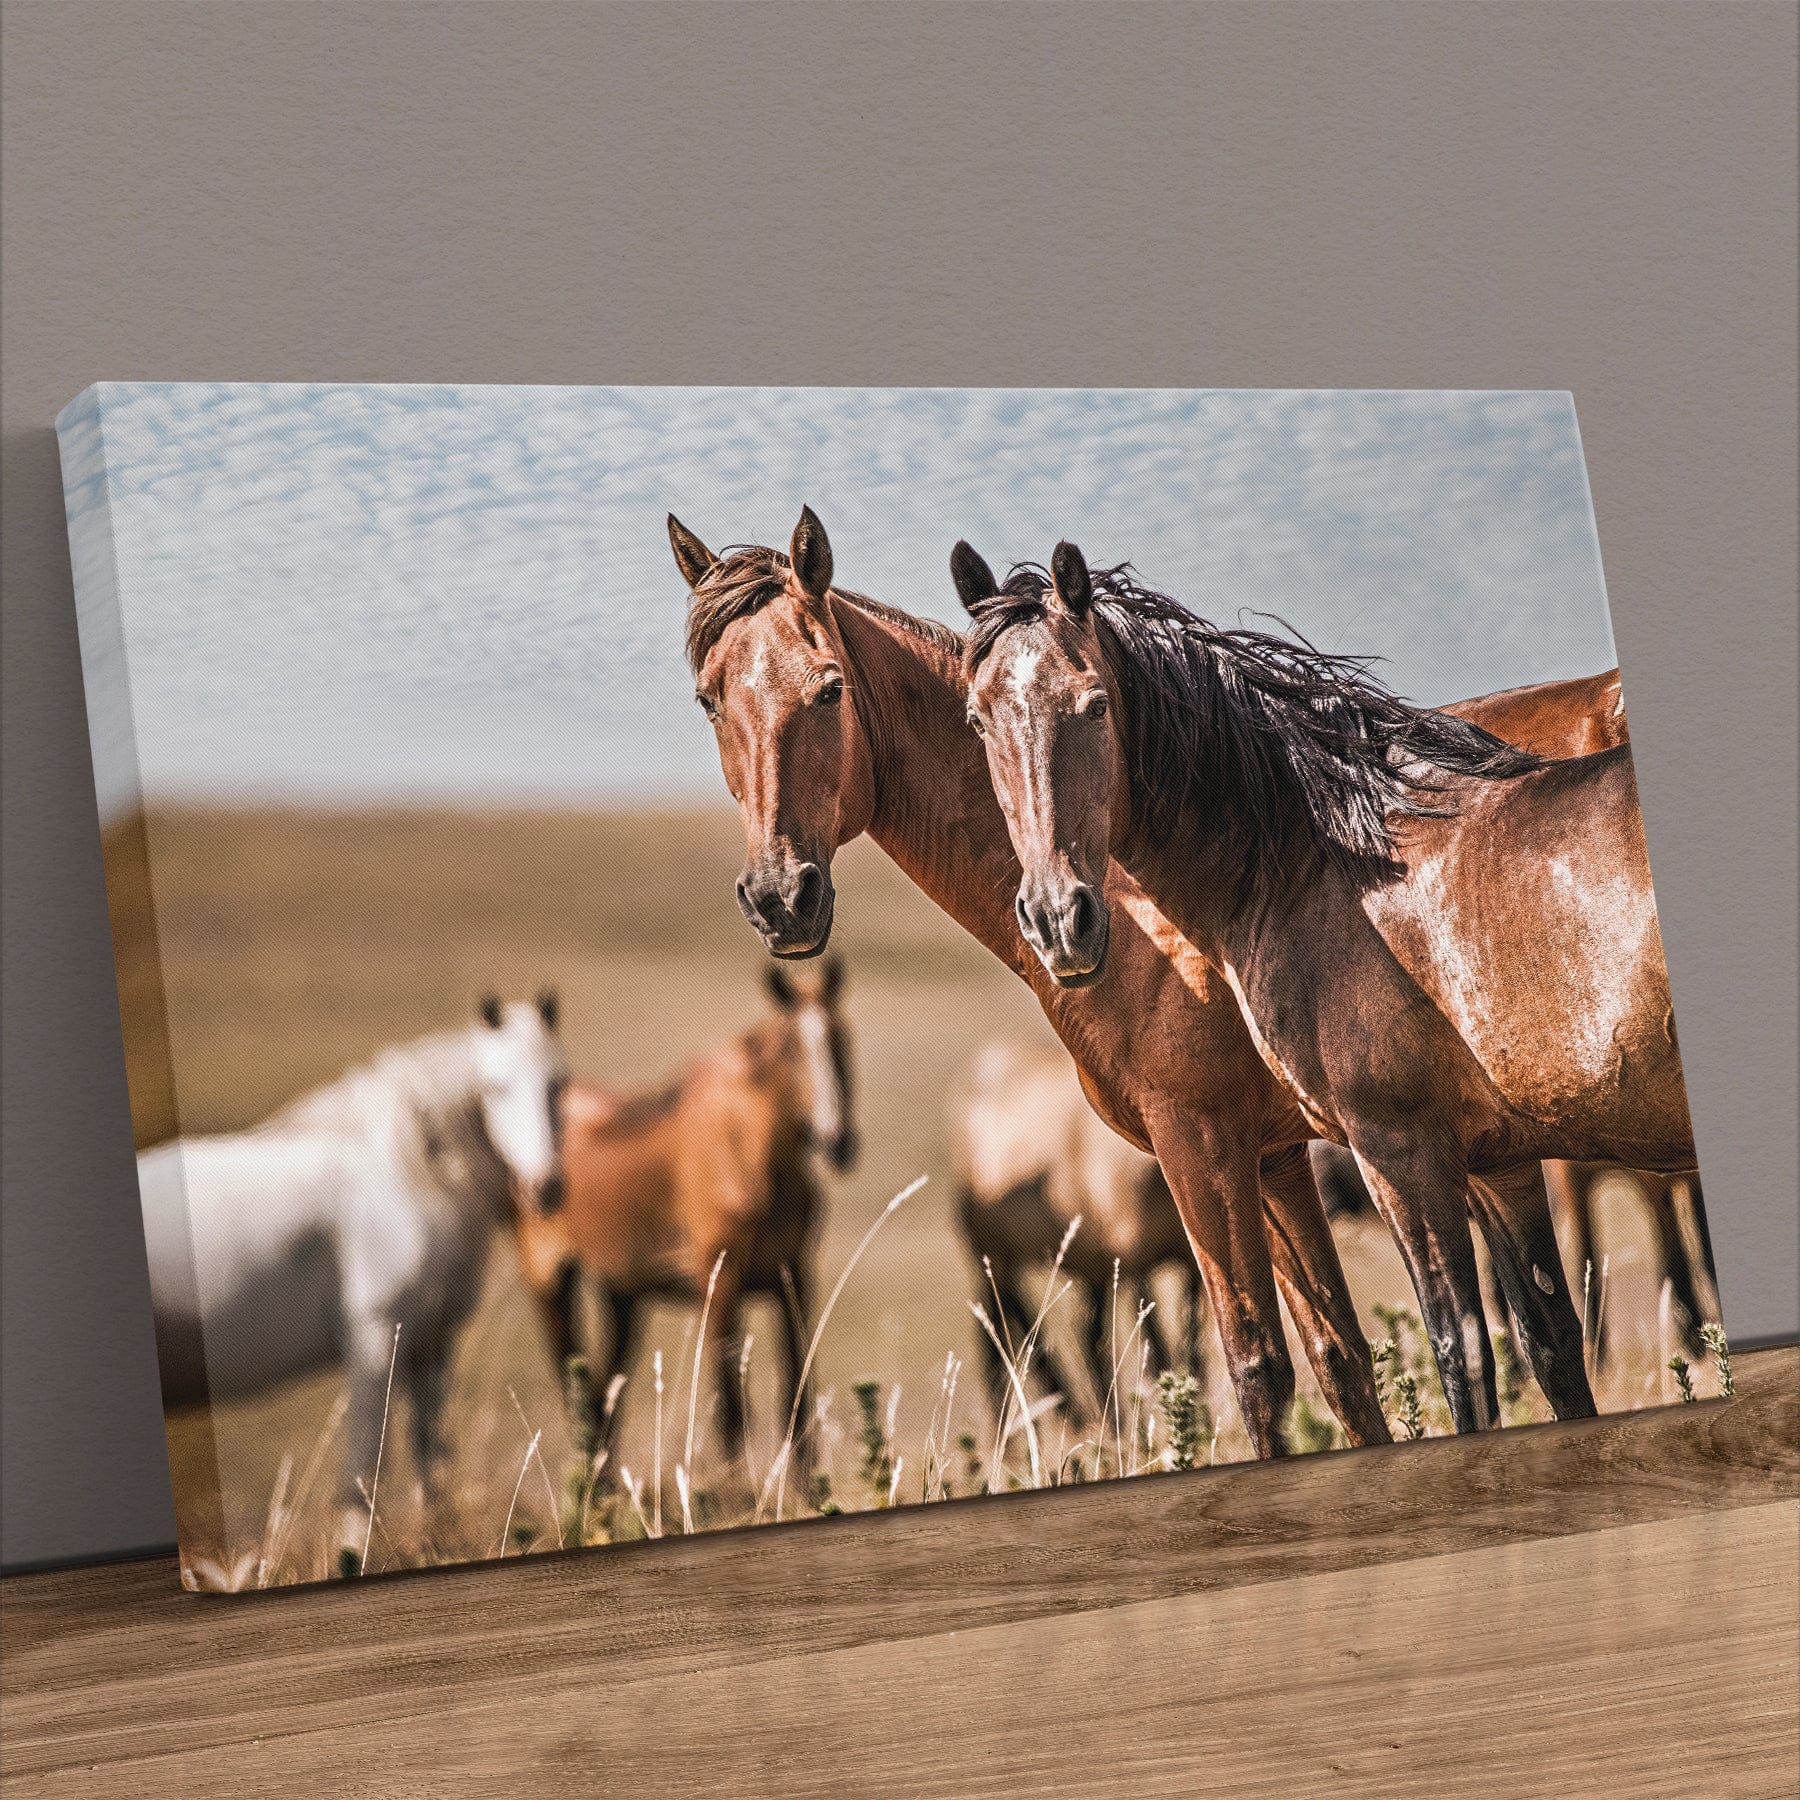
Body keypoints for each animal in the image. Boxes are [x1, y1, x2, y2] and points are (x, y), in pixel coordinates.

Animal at [138, 994, 567, 1564]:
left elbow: (431, 1454)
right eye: (496, 1087)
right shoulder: (374, 1338)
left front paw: (439, 1544)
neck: (407, 1171)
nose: (547, 1188)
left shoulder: (430, 1344)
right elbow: (364, 1467)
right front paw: (354, 1556)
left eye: (559, 1083)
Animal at [515, 959, 855, 1476]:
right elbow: (731, 1408)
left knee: (604, 1395)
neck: (753, 1156)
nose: (837, 1140)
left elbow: (796, 1397)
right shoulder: (722, 1286)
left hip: (623, 1296)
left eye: (841, 1039)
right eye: (790, 1047)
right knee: (578, 1395)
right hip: (549, 1282)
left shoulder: (794, 1279)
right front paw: (739, 1487)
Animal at [951, 1040, 1200, 1420]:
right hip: (994, 1259)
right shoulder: (1135, 1264)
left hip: (1088, 1272)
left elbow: (1193, 1353)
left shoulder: (1190, 1265)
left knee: (1084, 1338)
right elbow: (1160, 1354)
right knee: (1005, 1333)